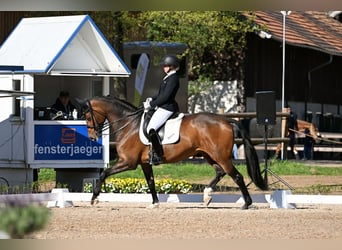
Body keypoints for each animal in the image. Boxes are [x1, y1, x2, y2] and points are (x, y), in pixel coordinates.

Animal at [82, 96, 268, 210]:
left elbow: (104, 173)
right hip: (209, 155)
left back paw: (247, 204)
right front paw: (155, 203)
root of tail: (226, 120)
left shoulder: (128, 162)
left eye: (88, 117)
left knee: (236, 176)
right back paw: (207, 195)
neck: (129, 124)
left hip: (220, 156)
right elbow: (150, 182)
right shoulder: (144, 163)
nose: (92, 136)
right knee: (220, 172)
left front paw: (94, 198)